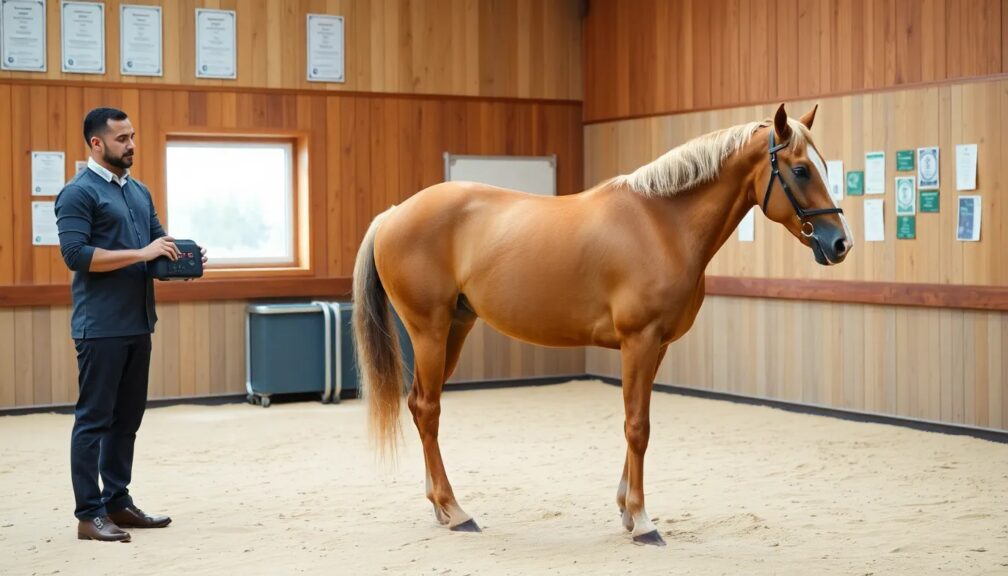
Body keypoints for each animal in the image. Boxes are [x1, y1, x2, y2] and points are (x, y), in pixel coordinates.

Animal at [352, 104, 852, 546]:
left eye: (825, 166)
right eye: (801, 170)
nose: (840, 243)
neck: (661, 224)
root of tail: (393, 213)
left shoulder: (657, 346)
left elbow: (639, 421)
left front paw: (626, 510)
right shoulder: (639, 340)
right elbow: (637, 427)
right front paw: (643, 521)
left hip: (455, 328)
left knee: (420, 405)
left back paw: (441, 509)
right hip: (430, 331)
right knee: (428, 409)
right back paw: (457, 511)